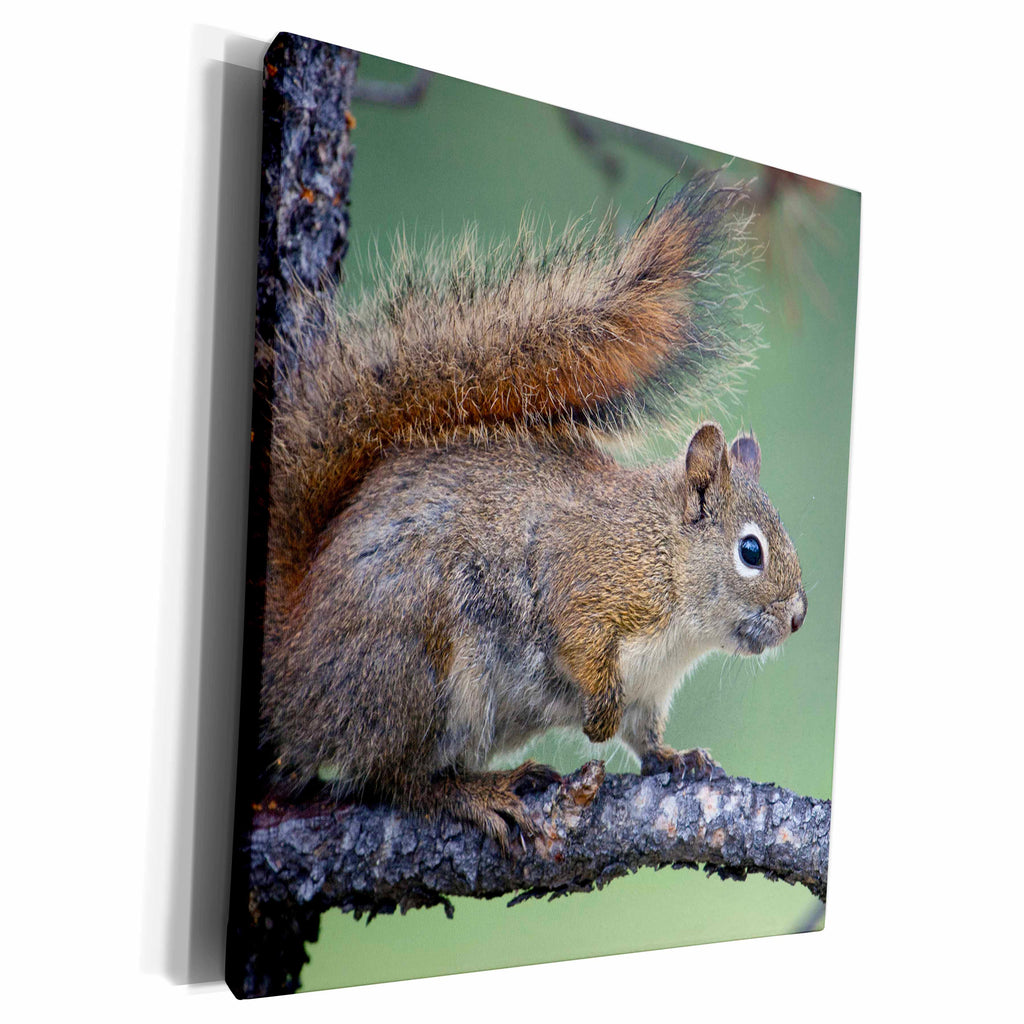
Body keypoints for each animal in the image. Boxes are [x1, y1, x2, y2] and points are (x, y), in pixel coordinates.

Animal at [259, 174, 808, 849]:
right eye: (750, 550)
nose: (797, 618)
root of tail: (295, 667)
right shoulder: (588, 581)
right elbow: (579, 644)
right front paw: (598, 715)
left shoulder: (650, 689)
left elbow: (645, 737)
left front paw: (676, 757)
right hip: (416, 666)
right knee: (391, 779)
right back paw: (478, 792)